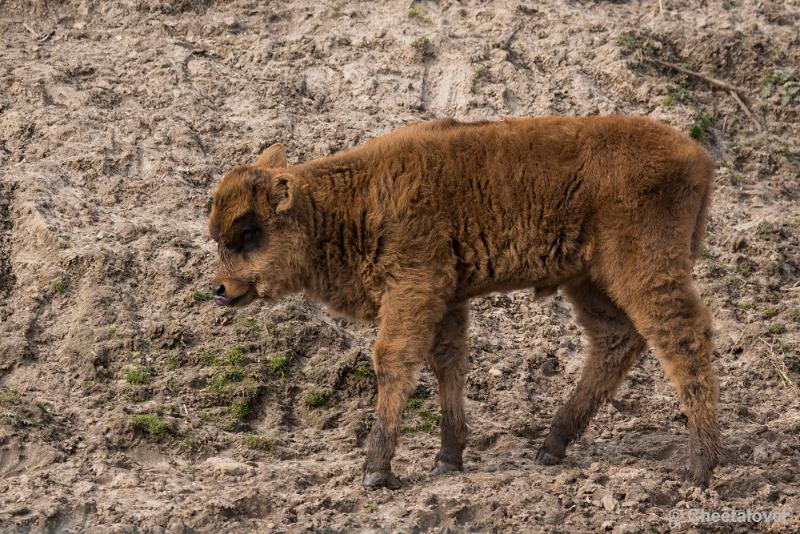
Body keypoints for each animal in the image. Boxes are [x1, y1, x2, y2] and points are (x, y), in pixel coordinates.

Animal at [209, 117, 720, 490]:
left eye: (249, 233)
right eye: (219, 237)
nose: (220, 289)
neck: (349, 202)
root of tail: (699, 156)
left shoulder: (412, 287)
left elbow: (394, 361)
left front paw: (377, 471)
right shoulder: (447, 299)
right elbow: (448, 363)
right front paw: (448, 459)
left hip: (642, 268)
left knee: (682, 339)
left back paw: (700, 468)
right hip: (589, 279)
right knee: (616, 340)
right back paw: (551, 446)